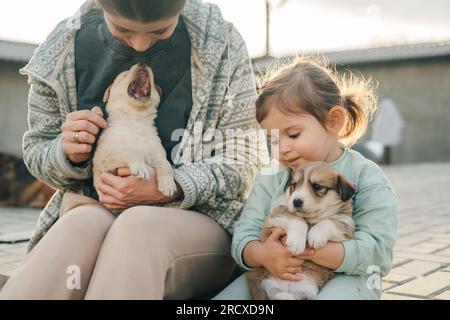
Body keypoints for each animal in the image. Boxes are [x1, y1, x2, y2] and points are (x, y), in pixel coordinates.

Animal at [92, 63, 177, 212]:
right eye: (124, 75)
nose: (142, 63)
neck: (136, 120)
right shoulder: (103, 161)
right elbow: (129, 151)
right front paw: (140, 167)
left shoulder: (158, 155)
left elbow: (165, 164)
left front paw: (168, 184)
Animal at [246, 162, 356, 300]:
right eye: (294, 185)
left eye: (317, 186)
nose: (296, 201)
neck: (312, 218)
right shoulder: (279, 212)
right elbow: (297, 219)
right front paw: (296, 243)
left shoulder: (347, 222)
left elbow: (329, 221)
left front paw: (316, 236)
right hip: (260, 280)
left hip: (310, 289)